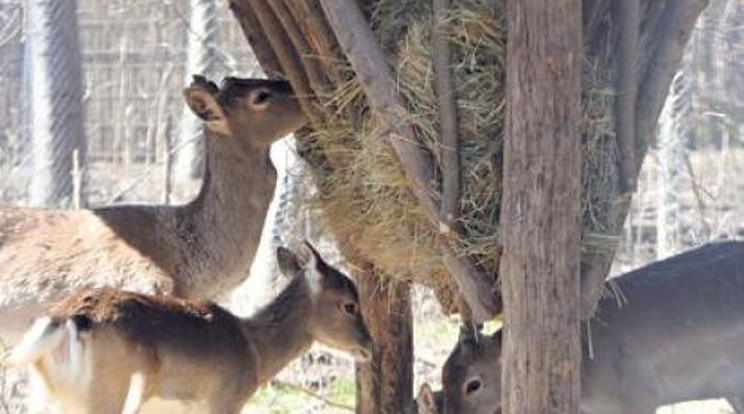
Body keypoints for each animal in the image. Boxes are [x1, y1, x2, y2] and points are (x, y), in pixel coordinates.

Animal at [2, 243, 370, 414]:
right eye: (349, 304)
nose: (368, 344)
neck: (254, 352)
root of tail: (66, 319)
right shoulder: (221, 401)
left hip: (46, 394)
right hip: (105, 395)